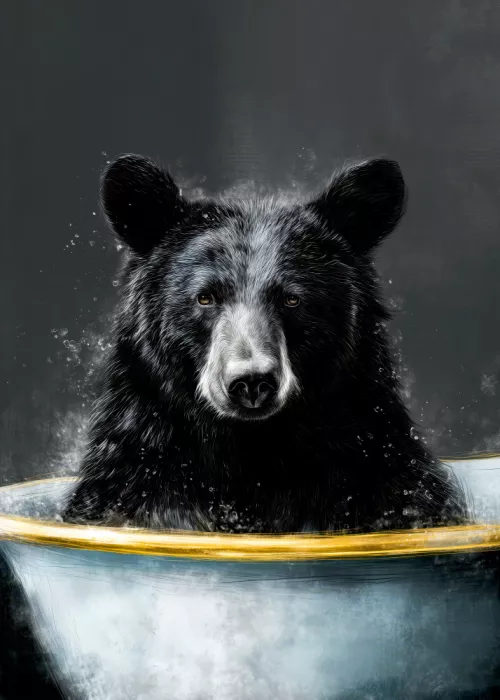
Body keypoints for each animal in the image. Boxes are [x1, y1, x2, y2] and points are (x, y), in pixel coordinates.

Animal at [62, 153, 466, 533]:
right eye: (205, 297)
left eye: (292, 299)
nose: (252, 382)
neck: (254, 453)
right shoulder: (139, 472)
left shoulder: (375, 472)